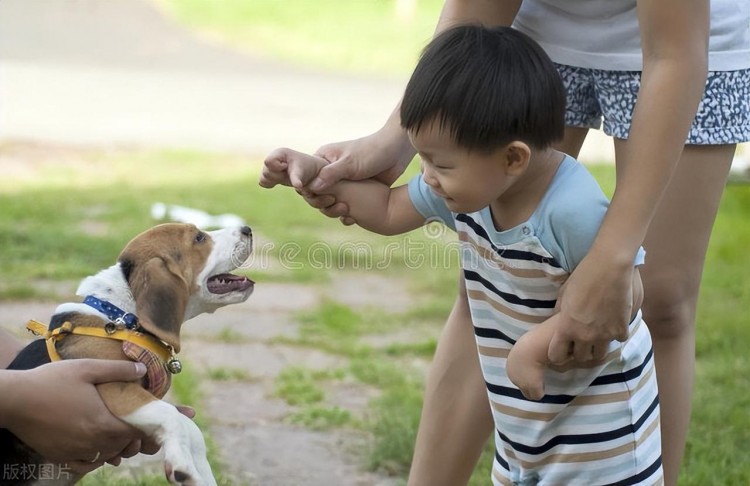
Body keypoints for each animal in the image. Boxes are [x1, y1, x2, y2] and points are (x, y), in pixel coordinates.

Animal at [0, 224, 256, 486]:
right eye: (198, 238)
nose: (247, 229)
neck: (122, 316)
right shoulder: (115, 386)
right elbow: (173, 417)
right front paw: (184, 467)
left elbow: (189, 427)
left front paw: (200, 475)